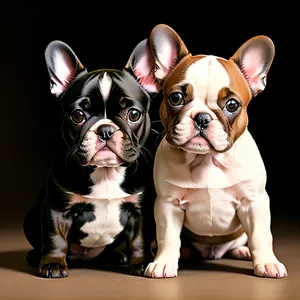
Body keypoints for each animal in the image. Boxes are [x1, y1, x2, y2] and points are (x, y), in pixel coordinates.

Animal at [23, 38, 161, 278]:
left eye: (133, 114)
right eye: (78, 115)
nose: (105, 130)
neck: (105, 172)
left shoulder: (140, 210)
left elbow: (139, 240)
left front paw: (142, 263)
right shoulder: (57, 209)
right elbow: (55, 238)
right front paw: (52, 264)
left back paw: (116, 256)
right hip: (31, 217)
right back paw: (35, 257)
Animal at [144, 23, 288, 278]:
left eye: (232, 104)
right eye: (176, 98)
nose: (202, 117)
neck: (206, 159)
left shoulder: (254, 202)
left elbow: (260, 236)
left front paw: (267, 263)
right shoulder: (168, 204)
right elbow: (168, 237)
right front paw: (163, 262)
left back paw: (243, 251)